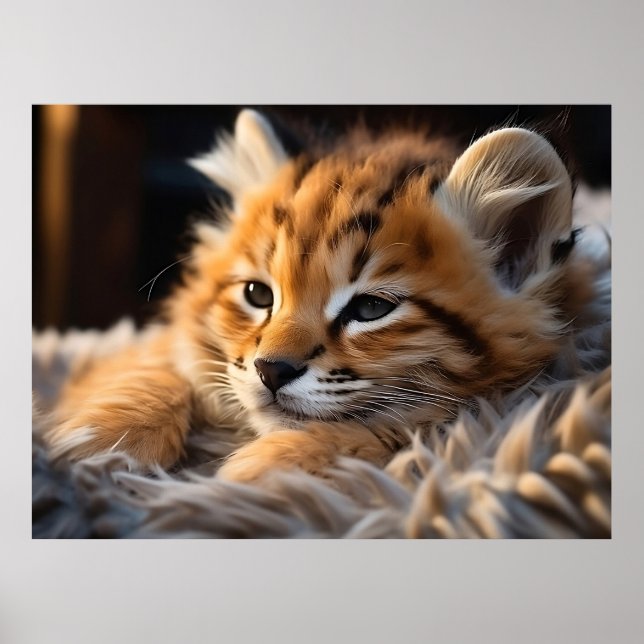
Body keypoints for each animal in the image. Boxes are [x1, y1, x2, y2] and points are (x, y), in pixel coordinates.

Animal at [45, 109, 597, 483]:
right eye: (257, 294)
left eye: (371, 309)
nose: (271, 371)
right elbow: (153, 371)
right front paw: (97, 444)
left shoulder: (500, 404)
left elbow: (414, 427)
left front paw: (260, 468)